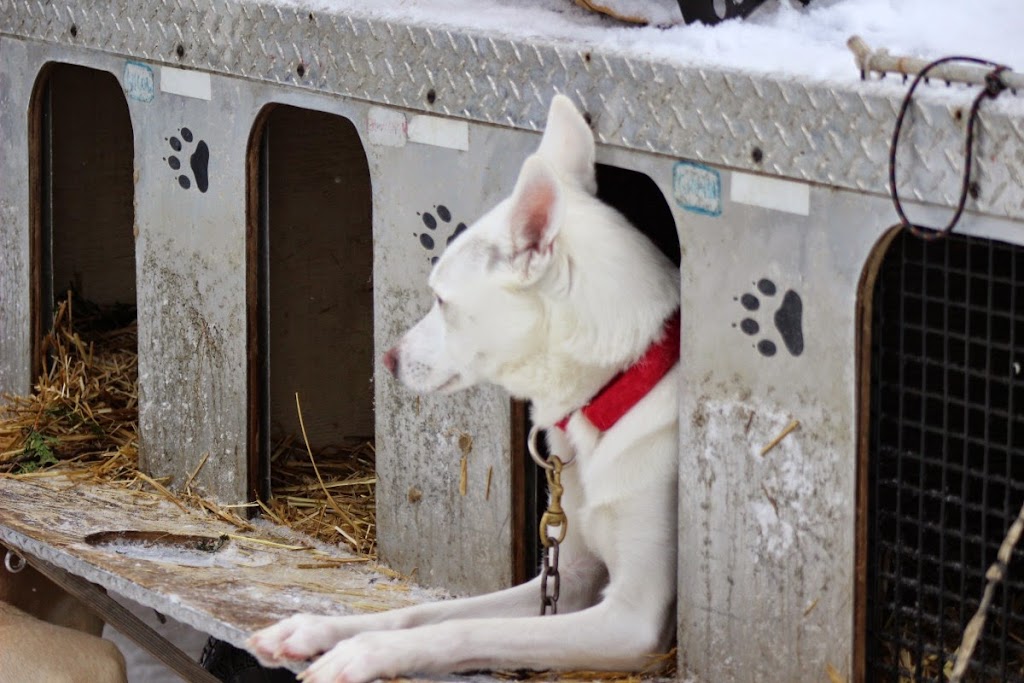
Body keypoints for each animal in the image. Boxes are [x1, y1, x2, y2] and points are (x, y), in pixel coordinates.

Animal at [246, 94, 679, 683]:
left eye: (442, 301)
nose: (388, 358)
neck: (613, 391)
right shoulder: (567, 577)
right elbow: (424, 612)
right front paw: (314, 629)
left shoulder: (631, 620)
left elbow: (463, 630)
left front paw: (361, 654)